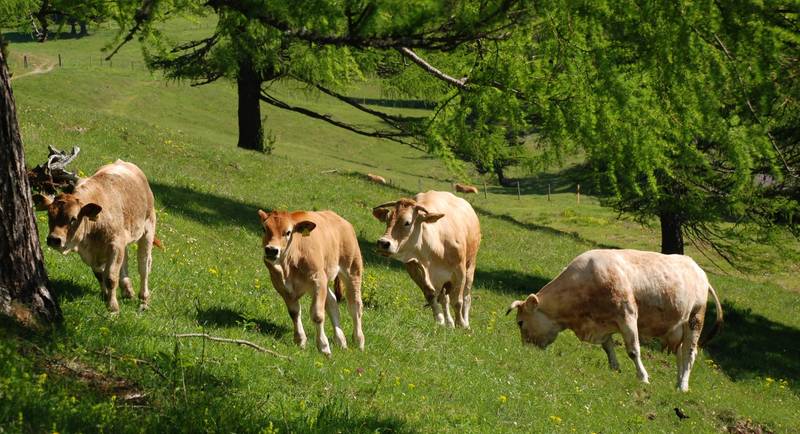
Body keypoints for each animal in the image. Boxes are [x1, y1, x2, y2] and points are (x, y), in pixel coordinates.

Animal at [33, 159, 158, 312]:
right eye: (49, 215)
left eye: (73, 219)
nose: (54, 239)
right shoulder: (96, 252)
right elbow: (99, 274)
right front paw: (106, 295)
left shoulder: (116, 245)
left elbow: (110, 277)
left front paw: (113, 307)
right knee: (125, 262)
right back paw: (127, 290)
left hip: (148, 227)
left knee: (144, 265)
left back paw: (144, 299)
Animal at [258, 208, 364, 356]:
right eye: (264, 228)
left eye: (288, 232)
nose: (271, 250)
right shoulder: (282, 286)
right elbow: (294, 312)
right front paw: (300, 340)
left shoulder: (317, 280)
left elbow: (317, 315)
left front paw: (324, 347)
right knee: (332, 302)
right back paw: (341, 340)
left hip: (352, 269)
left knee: (355, 305)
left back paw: (359, 341)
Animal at [370, 192, 478, 328]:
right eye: (387, 219)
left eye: (407, 222)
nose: (383, 243)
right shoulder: (413, 269)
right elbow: (430, 295)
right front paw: (440, 320)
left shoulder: (460, 272)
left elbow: (457, 301)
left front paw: (461, 324)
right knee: (444, 298)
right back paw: (449, 322)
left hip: (471, 265)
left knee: (466, 296)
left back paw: (465, 322)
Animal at [506, 249, 724, 392]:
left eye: (520, 323)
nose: (526, 351)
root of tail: (699, 271)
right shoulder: (603, 323)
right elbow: (608, 347)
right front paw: (615, 369)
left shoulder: (627, 315)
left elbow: (633, 350)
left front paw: (643, 377)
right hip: (679, 328)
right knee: (680, 354)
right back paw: (678, 383)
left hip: (695, 320)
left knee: (690, 354)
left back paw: (683, 386)